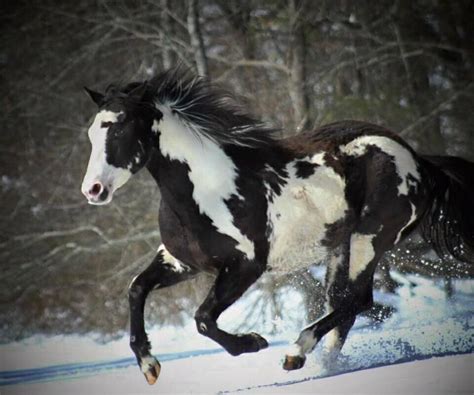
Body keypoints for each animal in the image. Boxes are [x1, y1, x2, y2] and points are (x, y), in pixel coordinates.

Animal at [81, 69, 474, 386]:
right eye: (91, 133)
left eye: (120, 126)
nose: (93, 190)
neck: (208, 188)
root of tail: (419, 161)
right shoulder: (182, 262)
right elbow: (136, 290)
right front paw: (149, 366)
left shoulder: (245, 266)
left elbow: (203, 319)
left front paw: (253, 342)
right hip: (340, 245)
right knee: (343, 304)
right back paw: (324, 365)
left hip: (371, 238)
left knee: (359, 299)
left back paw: (297, 352)